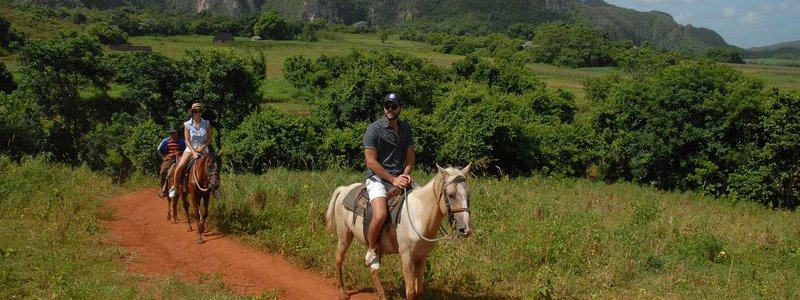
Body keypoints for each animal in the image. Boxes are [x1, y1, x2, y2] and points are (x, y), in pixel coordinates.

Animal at [326, 165, 476, 298]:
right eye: (451, 195)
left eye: (468, 195)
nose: (465, 229)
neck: (419, 215)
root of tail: (345, 189)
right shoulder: (406, 256)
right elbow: (410, 292)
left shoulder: (421, 257)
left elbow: (419, 291)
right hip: (344, 236)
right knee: (339, 259)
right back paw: (342, 292)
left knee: (371, 267)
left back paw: (382, 295)